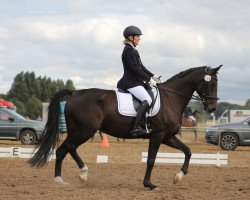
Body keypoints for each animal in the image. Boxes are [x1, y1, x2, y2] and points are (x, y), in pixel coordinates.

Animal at [28, 65, 222, 191]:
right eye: (211, 84)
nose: (212, 108)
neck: (171, 99)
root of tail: (74, 93)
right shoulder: (157, 136)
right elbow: (151, 160)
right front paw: (149, 185)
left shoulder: (168, 137)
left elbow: (188, 150)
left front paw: (178, 176)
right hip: (85, 130)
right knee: (68, 147)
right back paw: (76, 175)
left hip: (78, 131)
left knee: (64, 149)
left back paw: (65, 179)